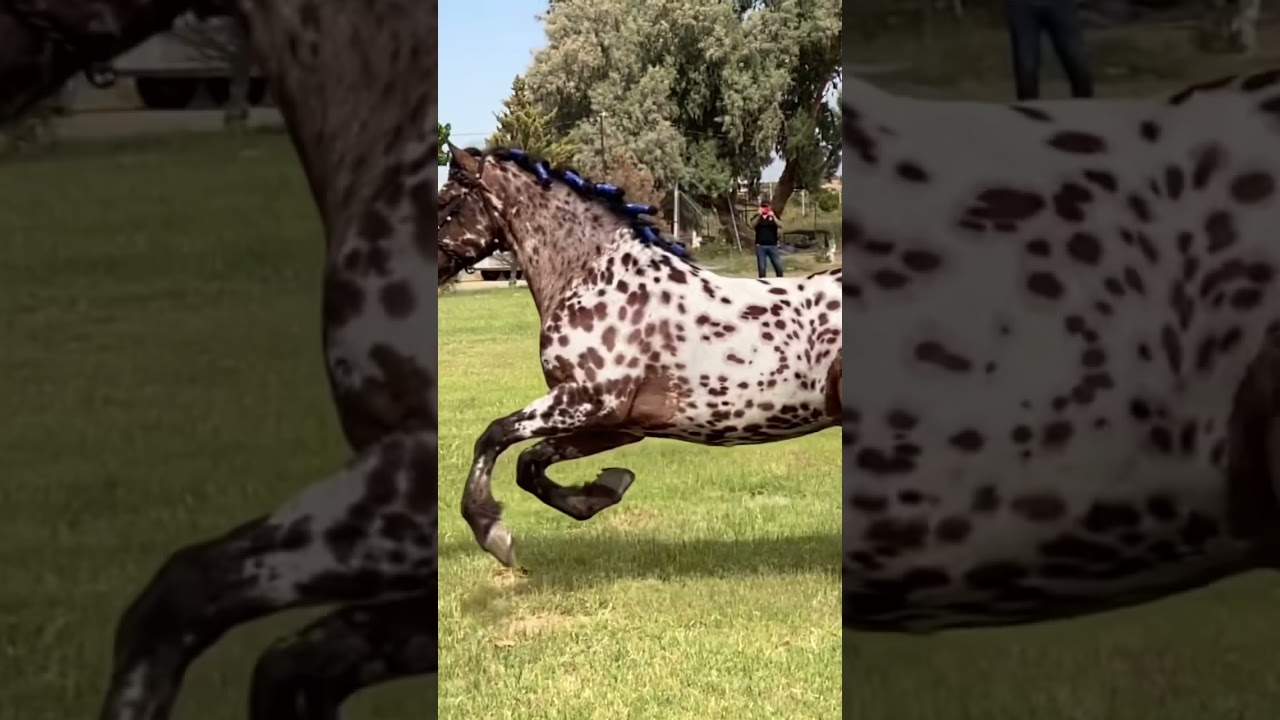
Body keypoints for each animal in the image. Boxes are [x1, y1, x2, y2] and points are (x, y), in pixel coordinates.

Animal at [437, 142, 843, 569]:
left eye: (445, 201)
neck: (597, 279)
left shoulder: (587, 401)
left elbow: (494, 435)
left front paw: (491, 531)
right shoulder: (618, 425)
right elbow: (530, 462)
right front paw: (602, 490)